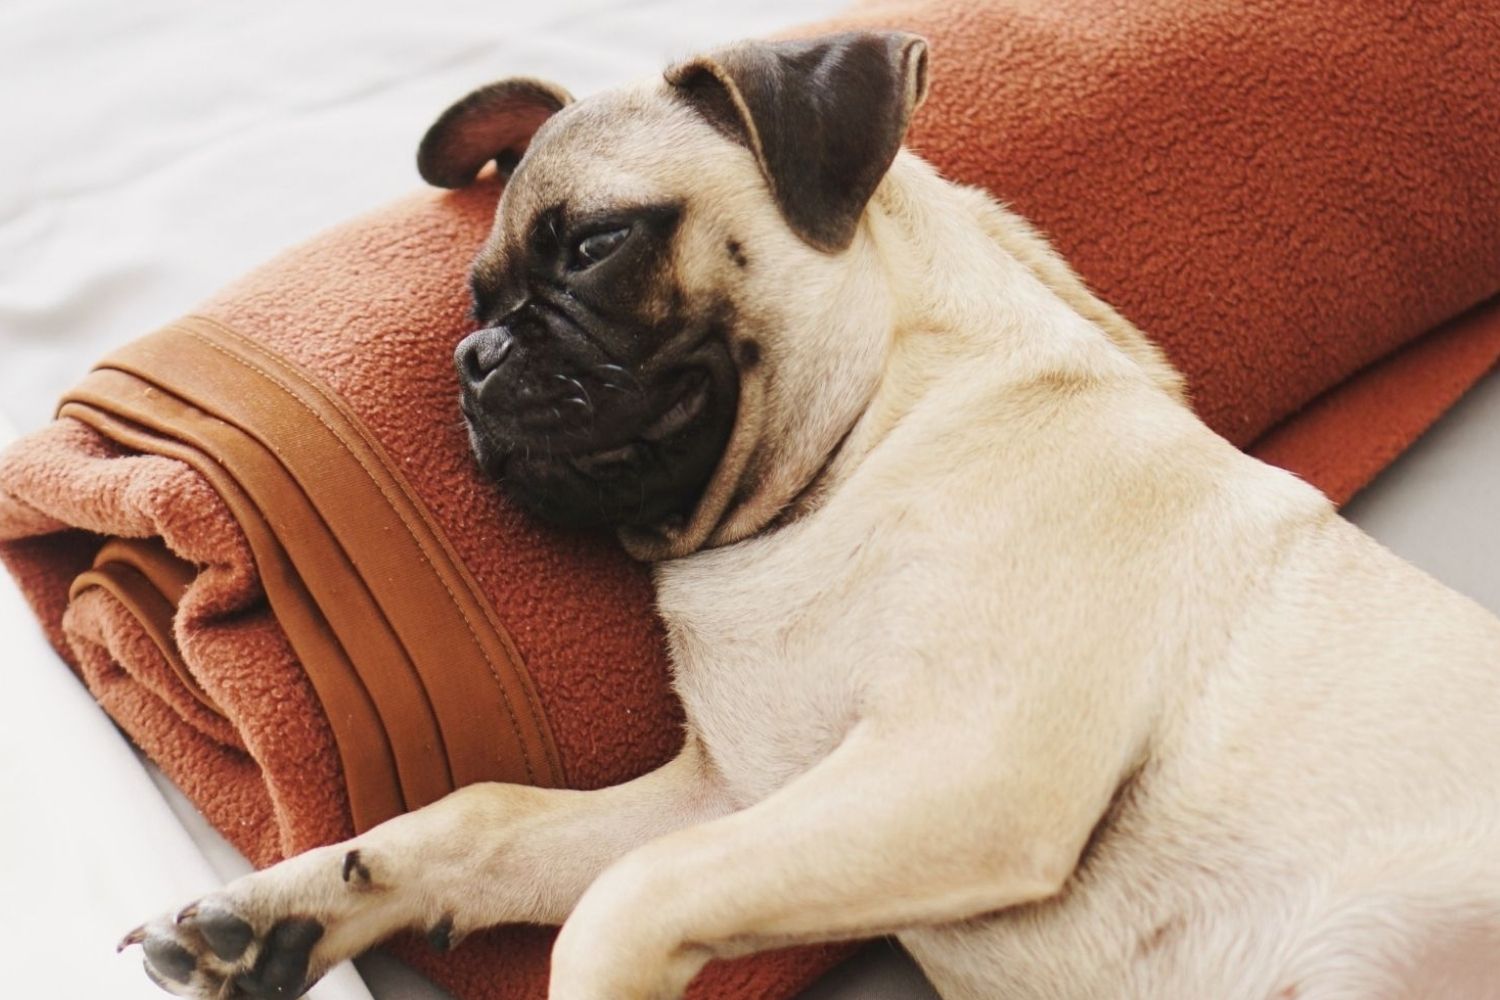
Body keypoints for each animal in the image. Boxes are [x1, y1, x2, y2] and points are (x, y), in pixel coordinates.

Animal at [126, 31, 1500, 1000]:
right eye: (478, 294)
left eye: (596, 247)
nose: (474, 356)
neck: (859, 458)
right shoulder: (740, 795)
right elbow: (491, 818)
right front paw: (291, 905)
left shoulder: (958, 768)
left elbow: (625, 898)